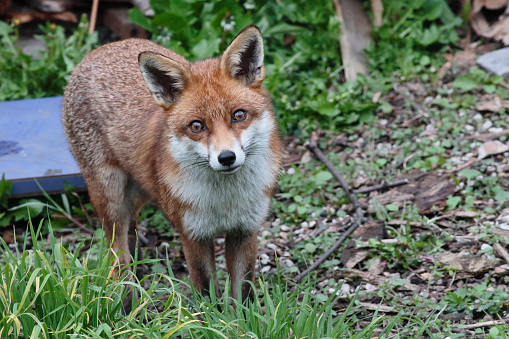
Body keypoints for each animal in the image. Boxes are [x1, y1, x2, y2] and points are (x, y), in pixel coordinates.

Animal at [61, 27, 282, 302]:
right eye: (197, 126)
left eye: (238, 115)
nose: (226, 157)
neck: (225, 202)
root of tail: (99, 50)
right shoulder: (193, 235)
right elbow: (207, 292)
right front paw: (211, 315)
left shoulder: (245, 231)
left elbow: (243, 293)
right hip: (110, 198)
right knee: (117, 254)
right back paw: (126, 298)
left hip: (141, 191)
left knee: (131, 230)